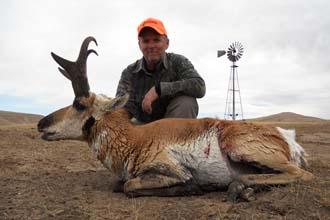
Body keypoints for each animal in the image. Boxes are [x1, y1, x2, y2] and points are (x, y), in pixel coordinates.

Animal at [37, 37, 314, 202]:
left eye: (78, 104)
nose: (41, 124)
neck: (135, 138)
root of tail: (287, 136)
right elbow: (120, 184)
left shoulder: (173, 170)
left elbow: (129, 186)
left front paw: (192, 188)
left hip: (239, 147)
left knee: (300, 175)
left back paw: (238, 189)